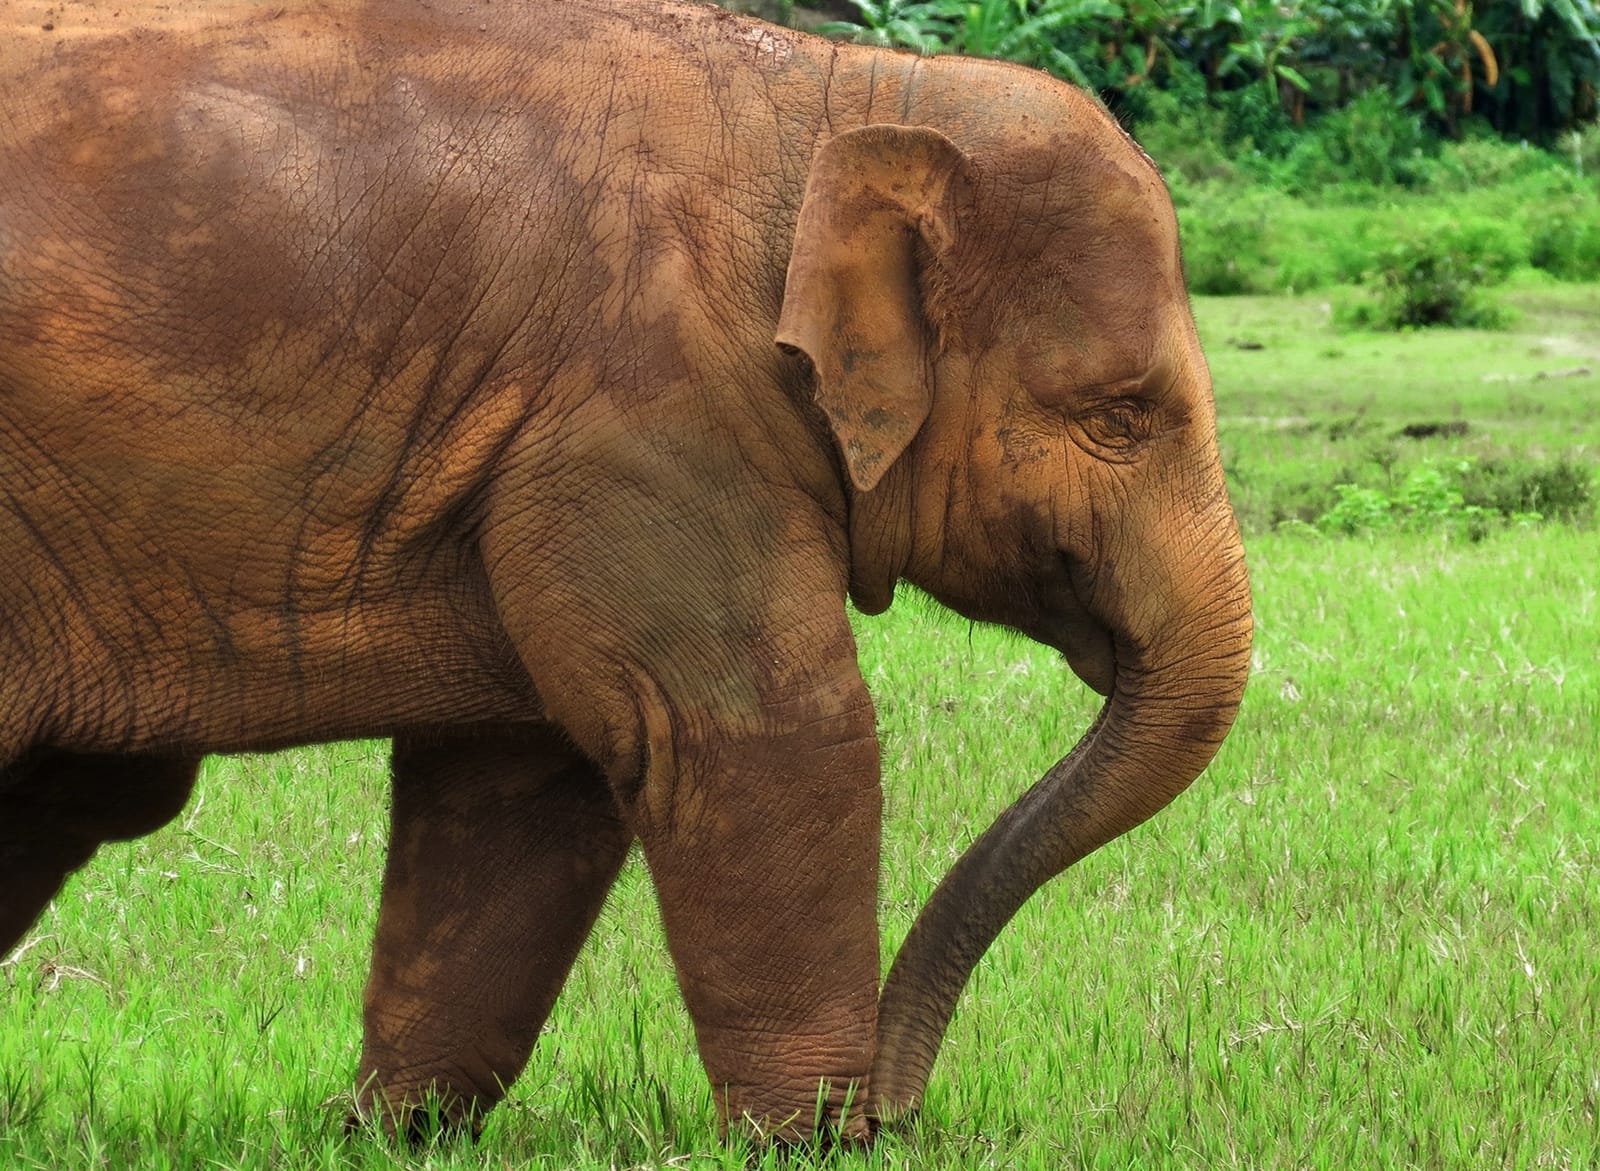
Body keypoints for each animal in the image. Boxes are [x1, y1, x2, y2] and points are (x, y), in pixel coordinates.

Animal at [0, 0, 1252, 1144]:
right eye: (1117, 417)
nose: (898, 1113)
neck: (850, 97)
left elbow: (520, 781)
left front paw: (394, 1134)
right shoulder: (649, 406)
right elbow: (754, 734)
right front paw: (805, 1142)